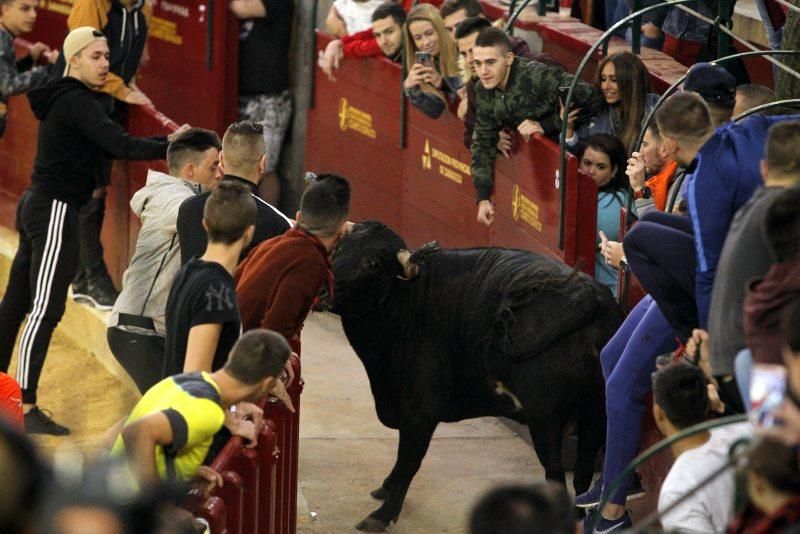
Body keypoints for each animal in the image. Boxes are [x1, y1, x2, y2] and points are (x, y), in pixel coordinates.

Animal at [326, 222, 624, 532]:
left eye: (372, 263)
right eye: (339, 249)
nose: (325, 286)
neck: (408, 299)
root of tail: (587, 298)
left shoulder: (420, 408)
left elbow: (409, 459)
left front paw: (383, 514)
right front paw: (385, 488)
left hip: (545, 417)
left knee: (555, 472)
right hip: (595, 412)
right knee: (582, 470)